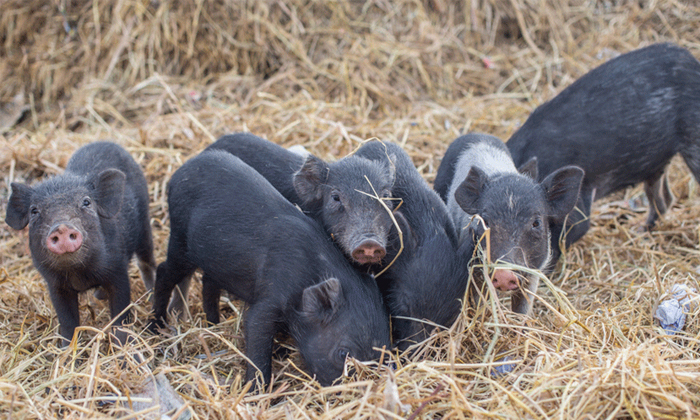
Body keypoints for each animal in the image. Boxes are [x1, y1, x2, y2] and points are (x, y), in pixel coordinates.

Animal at [4, 142, 155, 344]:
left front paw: (123, 345)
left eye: (86, 202)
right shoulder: (55, 285)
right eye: (34, 211)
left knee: (147, 261)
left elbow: (120, 315)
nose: (61, 227)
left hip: (145, 224)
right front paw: (64, 348)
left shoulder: (117, 270)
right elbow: (68, 322)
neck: (79, 274)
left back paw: (151, 295)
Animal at [152, 150, 392, 388]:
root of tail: (179, 173)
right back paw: (155, 326)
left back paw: (213, 323)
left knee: (208, 282)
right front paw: (256, 390)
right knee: (164, 272)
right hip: (180, 240)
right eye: (343, 354)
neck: (308, 272)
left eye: (382, 354)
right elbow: (256, 331)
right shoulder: (269, 297)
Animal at [434, 133, 584, 314]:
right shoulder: (475, 267)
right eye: (485, 221)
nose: (504, 274)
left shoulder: (534, 270)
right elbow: (478, 300)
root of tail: (478, 134)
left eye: (536, 223)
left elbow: (523, 308)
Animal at [506, 43, 700, 260]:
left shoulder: (577, 209)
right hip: (656, 164)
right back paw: (640, 231)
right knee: (663, 199)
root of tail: (692, 60)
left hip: (693, 141)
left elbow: (561, 242)